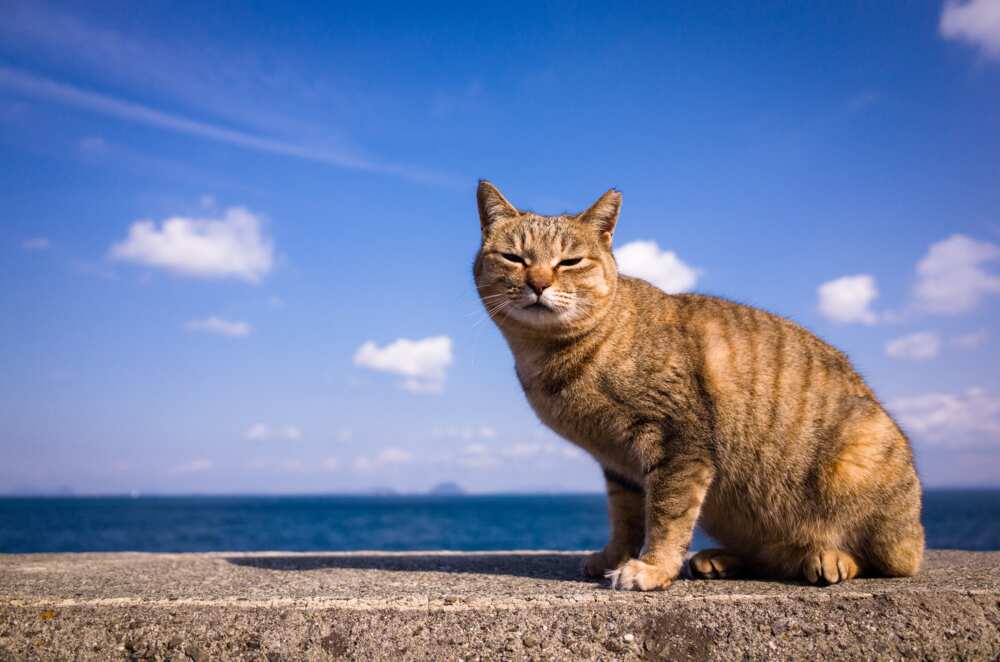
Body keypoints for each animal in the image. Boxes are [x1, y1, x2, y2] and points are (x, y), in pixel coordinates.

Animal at [472, 180, 924, 592]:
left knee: (886, 558)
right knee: (769, 556)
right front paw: (615, 556)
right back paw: (722, 559)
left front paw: (651, 568)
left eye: (569, 261)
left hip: (861, 468)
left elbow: (666, 514)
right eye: (514, 257)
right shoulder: (620, 464)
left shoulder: (678, 442)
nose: (538, 283)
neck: (553, 356)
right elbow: (626, 518)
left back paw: (828, 557)